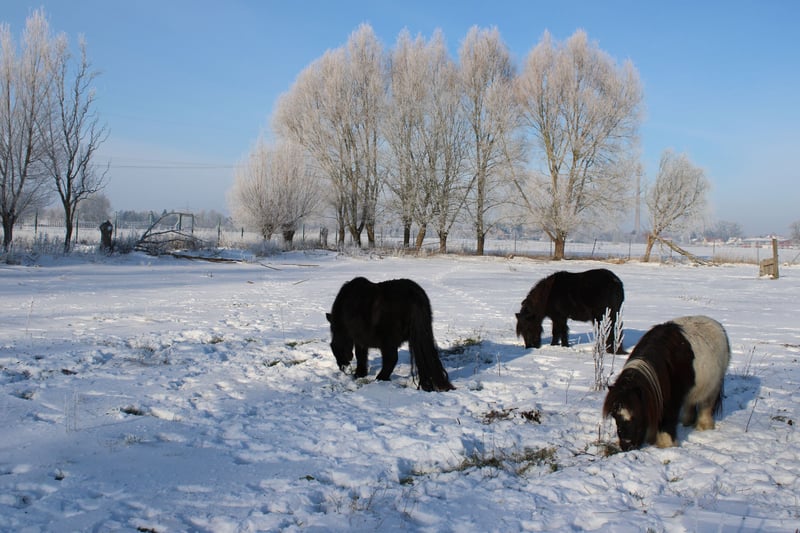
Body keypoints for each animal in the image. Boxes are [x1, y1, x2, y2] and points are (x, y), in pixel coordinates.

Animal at [326, 277, 455, 392]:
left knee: (391, 359)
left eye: (334, 347)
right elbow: (362, 355)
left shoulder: (360, 338)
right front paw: (361, 373)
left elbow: (360, 354)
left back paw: (380, 378)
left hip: (388, 341)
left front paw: (359, 374)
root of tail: (414, 294)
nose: (343, 368)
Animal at [602, 315, 730, 451]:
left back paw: (704, 425)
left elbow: (668, 417)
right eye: (615, 416)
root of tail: (717, 325)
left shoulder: (671, 399)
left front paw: (665, 444)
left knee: (706, 405)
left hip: (713, 386)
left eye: (636, 415)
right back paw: (686, 421)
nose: (626, 445)